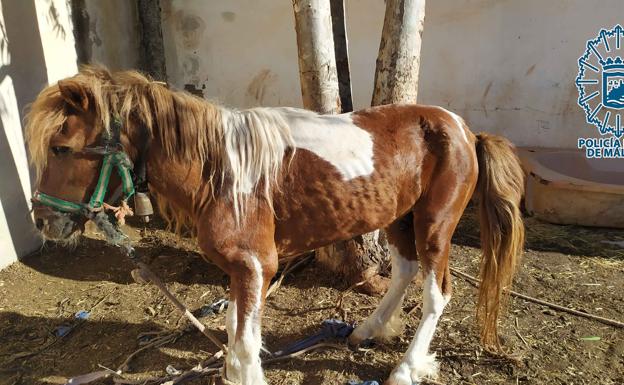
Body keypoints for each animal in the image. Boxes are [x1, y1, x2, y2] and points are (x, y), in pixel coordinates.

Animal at [26, 67, 524, 384]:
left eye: (62, 147)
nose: (43, 221)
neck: (221, 174)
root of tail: (465, 130)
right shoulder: (242, 271)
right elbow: (235, 334)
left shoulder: (254, 266)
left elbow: (245, 347)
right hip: (400, 218)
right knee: (403, 271)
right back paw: (366, 331)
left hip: (434, 223)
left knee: (437, 293)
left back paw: (405, 369)